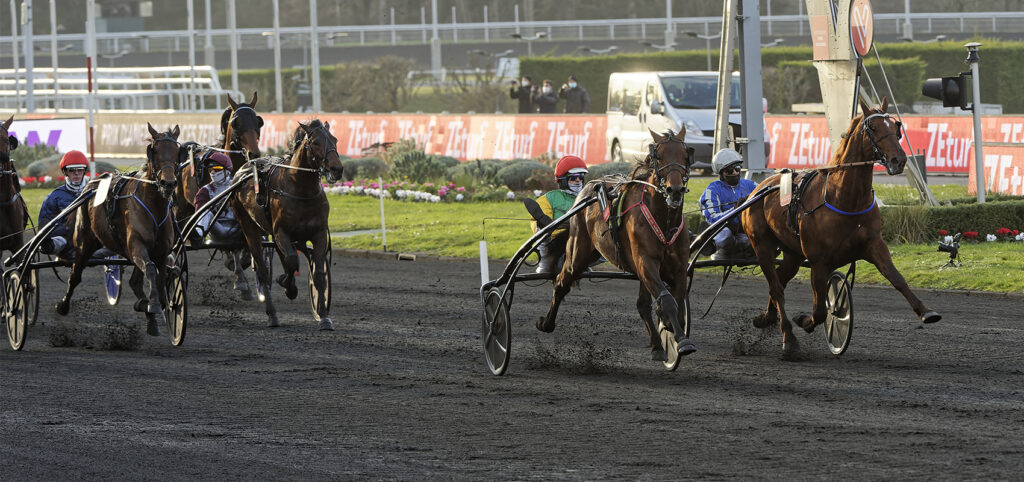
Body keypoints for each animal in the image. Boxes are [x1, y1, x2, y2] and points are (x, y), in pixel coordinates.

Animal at [56, 124, 180, 335]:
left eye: (177, 151)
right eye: (154, 150)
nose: (168, 183)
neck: (153, 207)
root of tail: (91, 184)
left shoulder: (161, 252)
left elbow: (159, 279)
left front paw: (153, 306)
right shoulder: (137, 246)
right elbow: (150, 270)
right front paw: (152, 305)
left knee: (135, 281)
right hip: (84, 243)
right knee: (75, 276)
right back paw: (63, 305)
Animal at [230, 120, 346, 329]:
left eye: (335, 139)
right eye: (315, 142)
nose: (336, 169)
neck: (301, 190)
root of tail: (243, 170)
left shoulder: (318, 233)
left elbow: (318, 274)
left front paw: (324, 317)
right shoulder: (281, 232)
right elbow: (292, 260)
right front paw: (286, 285)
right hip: (248, 226)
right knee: (262, 268)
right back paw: (272, 314)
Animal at [536, 129, 696, 362]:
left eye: (686, 155)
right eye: (658, 157)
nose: (674, 190)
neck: (664, 221)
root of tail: (587, 189)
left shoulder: (678, 267)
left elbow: (677, 304)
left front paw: (672, 331)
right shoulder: (645, 262)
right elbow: (667, 302)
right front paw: (682, 342)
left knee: (642, 304)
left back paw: (657, 346)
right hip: (578, 252)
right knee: (561, 282)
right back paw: (546, 323)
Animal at [741, 98, 937, 360]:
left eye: (896, 126)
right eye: (872, 127)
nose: (899, 160)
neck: (844, 198)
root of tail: (758, 188)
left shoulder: (874, 245)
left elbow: (897, 278)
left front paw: (926, 311)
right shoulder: (819, 261)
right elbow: (820, 310)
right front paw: (805, 320)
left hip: (793, 253)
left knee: (779, 282)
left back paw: (766, 318)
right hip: (761, 245)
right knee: (776, 287)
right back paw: (789, 339)